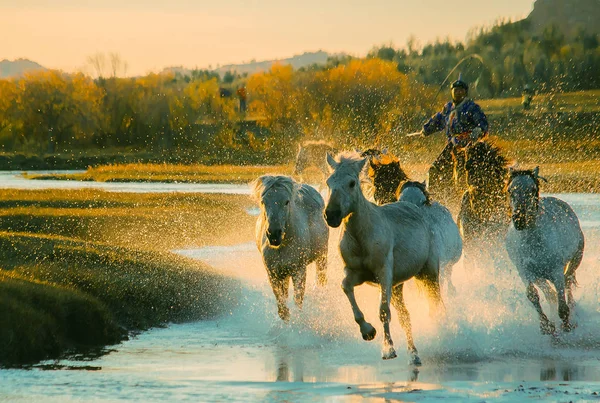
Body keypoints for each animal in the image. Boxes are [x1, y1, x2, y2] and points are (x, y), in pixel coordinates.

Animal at [252, 175, 330, 324]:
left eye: (286, 202)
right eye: (263, 201)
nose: (274, 234)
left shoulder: (299, 270)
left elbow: (298, 300)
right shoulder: (273, 273)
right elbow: (281, 303)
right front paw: (286, 320)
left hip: (322, 256)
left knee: (321, 278)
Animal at [324, 152, 440, 366]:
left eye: (352, 183)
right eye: (329, 182)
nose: (331, 215)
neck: (362, 236)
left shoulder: (384, 274)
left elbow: (383, 311)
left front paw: (389, 350)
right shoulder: (356, 274)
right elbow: (346, 288)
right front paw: (368, 331)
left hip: (429, 275)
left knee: (436, 305)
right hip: (398, 287)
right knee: (405, 316)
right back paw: (414, 355)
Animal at [504, 167, 584, 334]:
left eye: (533, 189)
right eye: (510, 190)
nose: (519, 220)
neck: (533, 243)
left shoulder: (556, 271)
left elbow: (562, 300)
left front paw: (566, 325)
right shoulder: (525, 272)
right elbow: (533, 295)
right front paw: (546, 326)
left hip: (576, 257)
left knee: (568, 280)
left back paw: (573, 309)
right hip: (538, 275)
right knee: (549, 291)